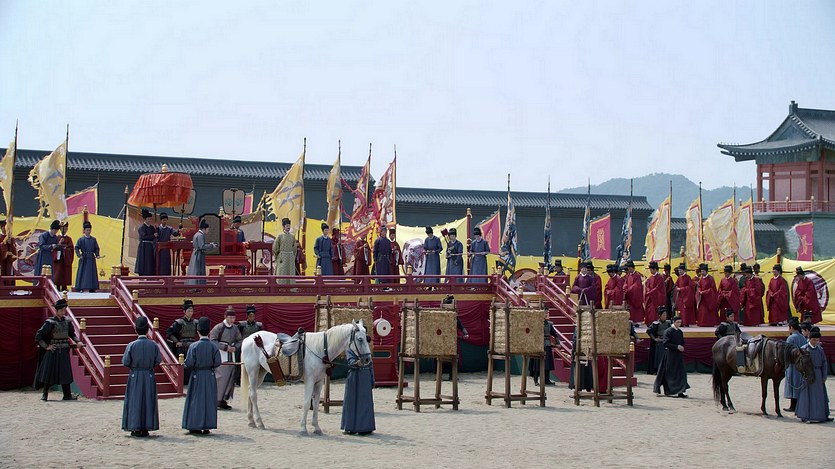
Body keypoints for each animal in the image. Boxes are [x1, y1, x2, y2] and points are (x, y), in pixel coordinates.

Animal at [240, 320, 372, 434]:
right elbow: (307, 403)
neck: (320, 350)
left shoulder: (319, 382)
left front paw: (317, 428)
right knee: (253, 395)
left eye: (367, 338)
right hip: (253, 371)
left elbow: (316, 403)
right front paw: (303, 428)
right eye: (360, 339)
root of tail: (249, 339)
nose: (367, 359)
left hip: (260, 373)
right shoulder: (310, 381)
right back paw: (259, 422)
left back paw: (251, 421)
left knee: (251, 392)